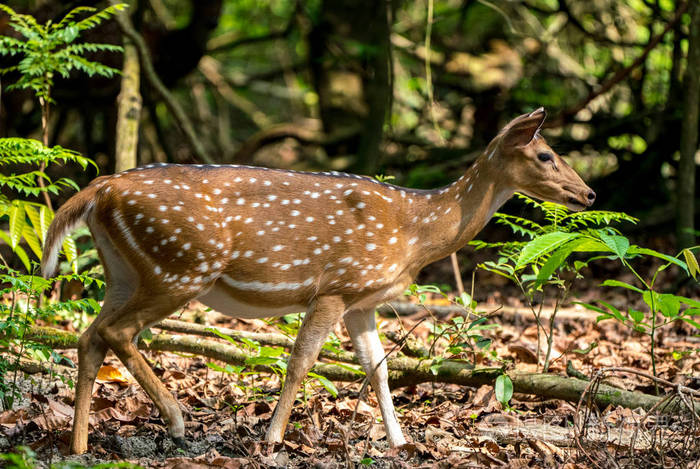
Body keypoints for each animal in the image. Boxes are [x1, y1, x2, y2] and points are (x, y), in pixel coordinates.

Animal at [41, 107, 592, 454]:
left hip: (125, 270)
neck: (415, 233)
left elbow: (379, 370)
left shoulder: (363, 300)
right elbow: (302, 361)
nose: (588, 193)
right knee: (116, 332)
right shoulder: (337, 285)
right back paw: (176, 422)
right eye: (546, 156)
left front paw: (402, 443)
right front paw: (272, 438)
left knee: (90, 335)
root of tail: (97, 189)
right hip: (181, 266)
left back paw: (79, 444)